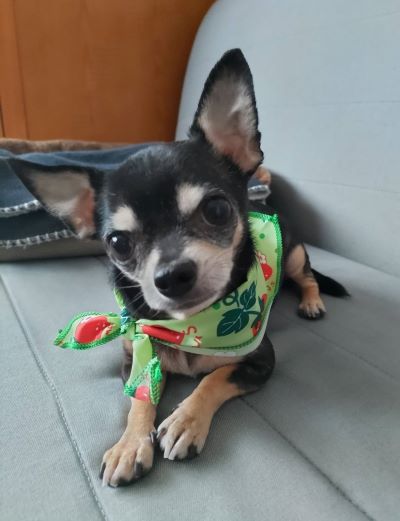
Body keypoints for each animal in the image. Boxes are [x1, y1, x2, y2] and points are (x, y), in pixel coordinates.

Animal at [16, 49, 348, 487]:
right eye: (118, 243)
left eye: (217, 210)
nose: (172, 275)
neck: (190, 325)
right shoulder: (132, 362)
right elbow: (141, 397)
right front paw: (129, 444)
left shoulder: (260, 363)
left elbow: (214, 377)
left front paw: (185, 421)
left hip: (293, 254)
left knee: (308, 277)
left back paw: (311, 302)